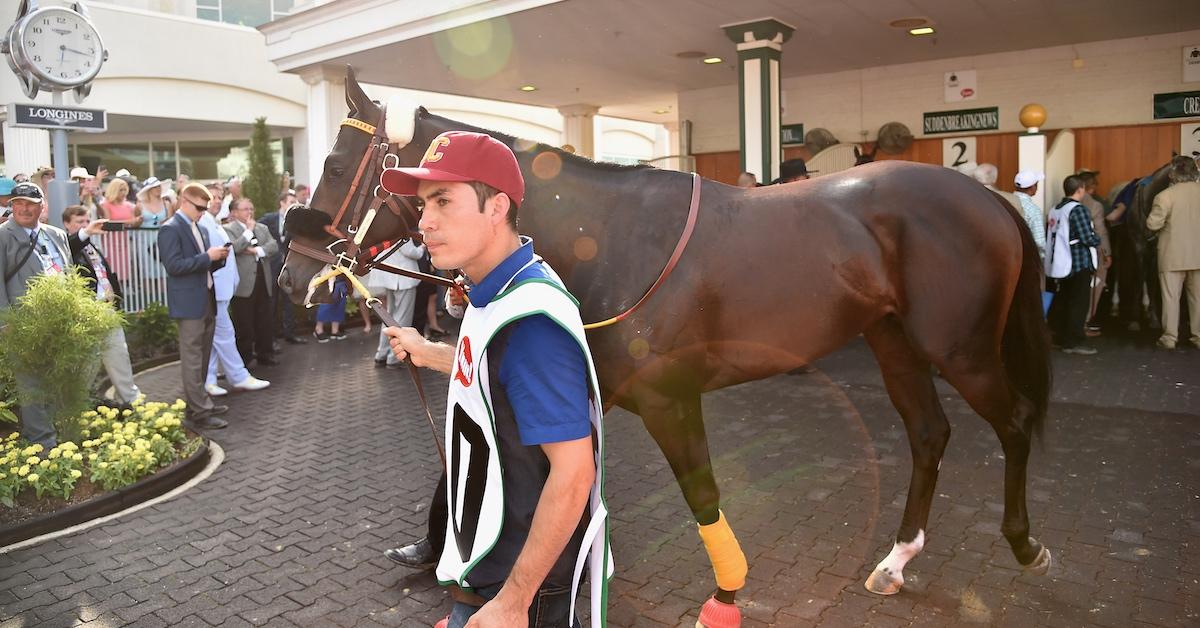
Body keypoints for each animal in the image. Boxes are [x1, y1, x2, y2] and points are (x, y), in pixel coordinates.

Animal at [278, 69, 1051, 624]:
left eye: (339, 164)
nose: (291, 273)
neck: (608, 238)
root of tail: (988, 198)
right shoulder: (581, 387)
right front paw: (438, 548)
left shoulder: (668, 399)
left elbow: (702, 493)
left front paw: (728, 595)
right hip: (894, 342)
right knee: (928, 434)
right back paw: (897, 560)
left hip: (962, 349)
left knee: (1013, 422)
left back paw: (1025, 543)